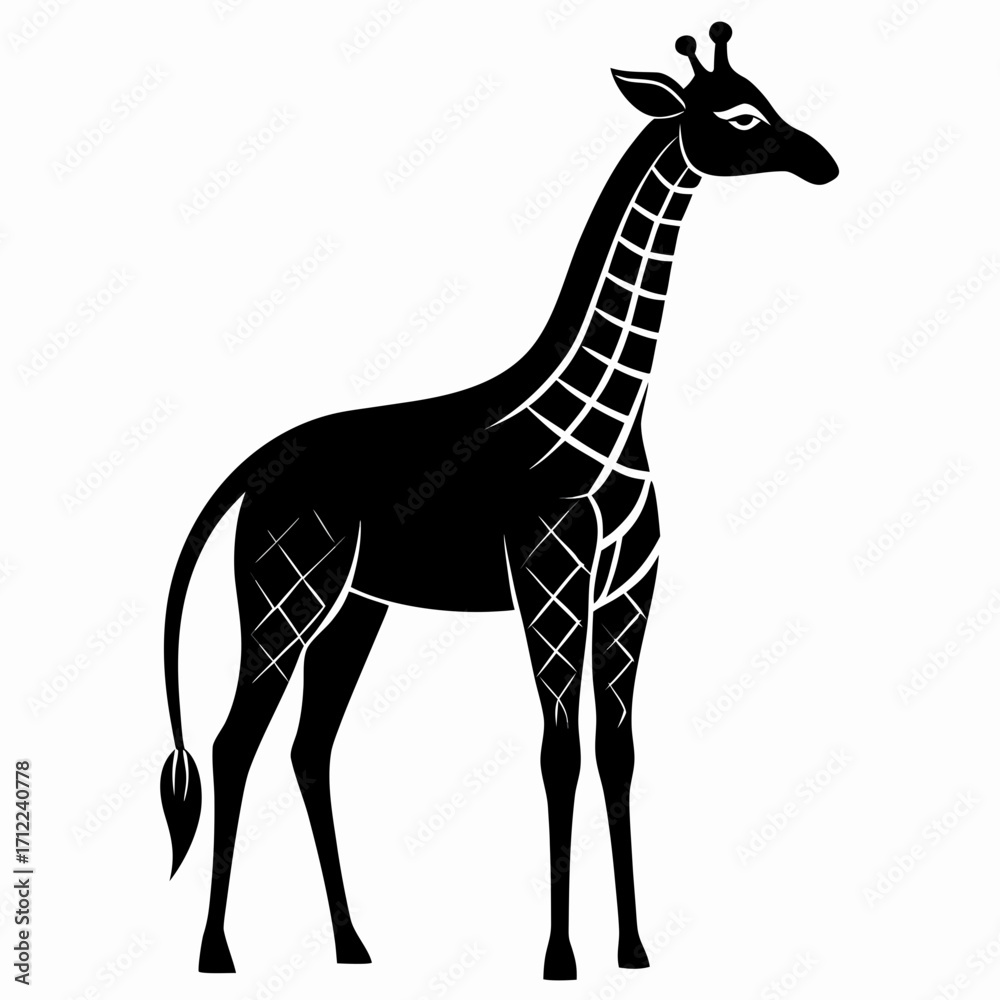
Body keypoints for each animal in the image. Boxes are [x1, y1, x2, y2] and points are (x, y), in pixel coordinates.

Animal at [160, 22, 837, 981]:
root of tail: (252, 470)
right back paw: (217, 951)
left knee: (307, 747)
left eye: (768, 101)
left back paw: (353, 945)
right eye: (742, 115)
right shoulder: (547, 577)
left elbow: (617, 751)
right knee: (233, 742)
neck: (611, 409)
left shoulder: (627, 590)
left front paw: (634, 949)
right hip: (286, 591)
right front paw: (560, 958)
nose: (823, 162)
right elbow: (559, 753)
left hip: (355, 606)